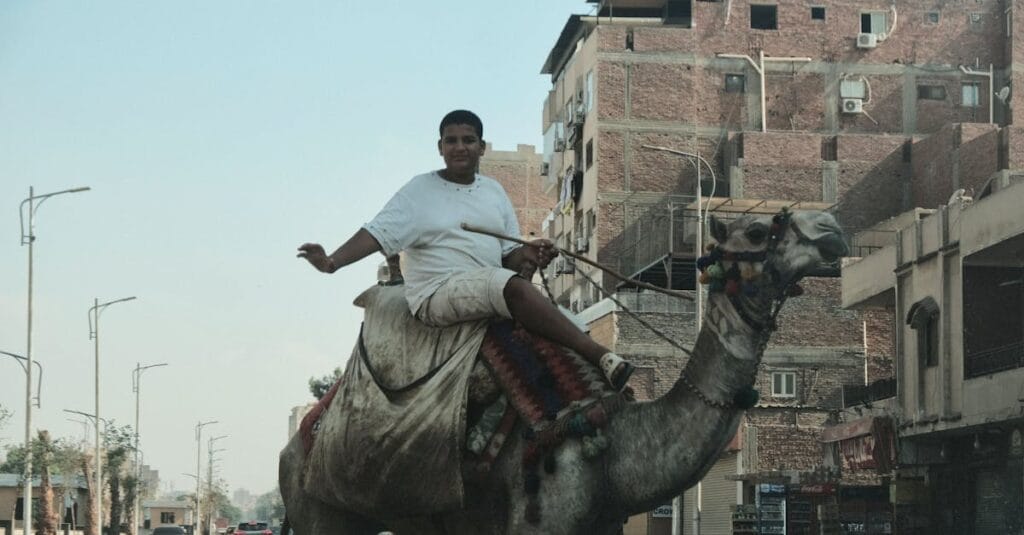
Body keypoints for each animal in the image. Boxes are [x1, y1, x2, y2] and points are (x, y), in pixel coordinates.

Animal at [279, 209, 848, 535]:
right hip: (316, 507)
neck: (612, 441)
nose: (833, 229)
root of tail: (302, 434)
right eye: (757, 230)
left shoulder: (603, 525)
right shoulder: (539, 520)